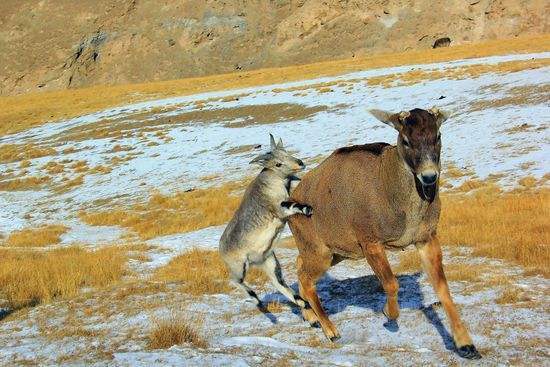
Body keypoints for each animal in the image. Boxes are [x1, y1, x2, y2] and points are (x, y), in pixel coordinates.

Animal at [288, 108, 484, 360]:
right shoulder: (370, 240)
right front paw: (387, 313)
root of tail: (289, 204)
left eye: (438, 135)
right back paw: (331, 331)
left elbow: (443, 288)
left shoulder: (426, 237)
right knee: (305, 276)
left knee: (299, 265)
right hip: (320, 250)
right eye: (406, 139)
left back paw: (310, 317)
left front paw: (467, 346)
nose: (429, 176)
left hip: (335, 252)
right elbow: (391, 283)